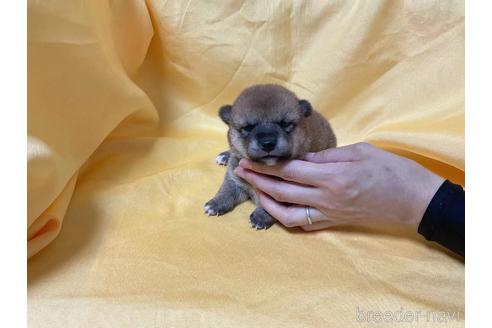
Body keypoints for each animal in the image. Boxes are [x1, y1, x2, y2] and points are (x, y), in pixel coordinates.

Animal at [203, 83, 334, 229]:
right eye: (248, 127)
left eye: (285, 124)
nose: (268, 143)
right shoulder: (234, 177)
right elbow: (226, 190)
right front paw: (216, 203)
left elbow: (272, 205)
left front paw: (261, 216)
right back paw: (225, 155)